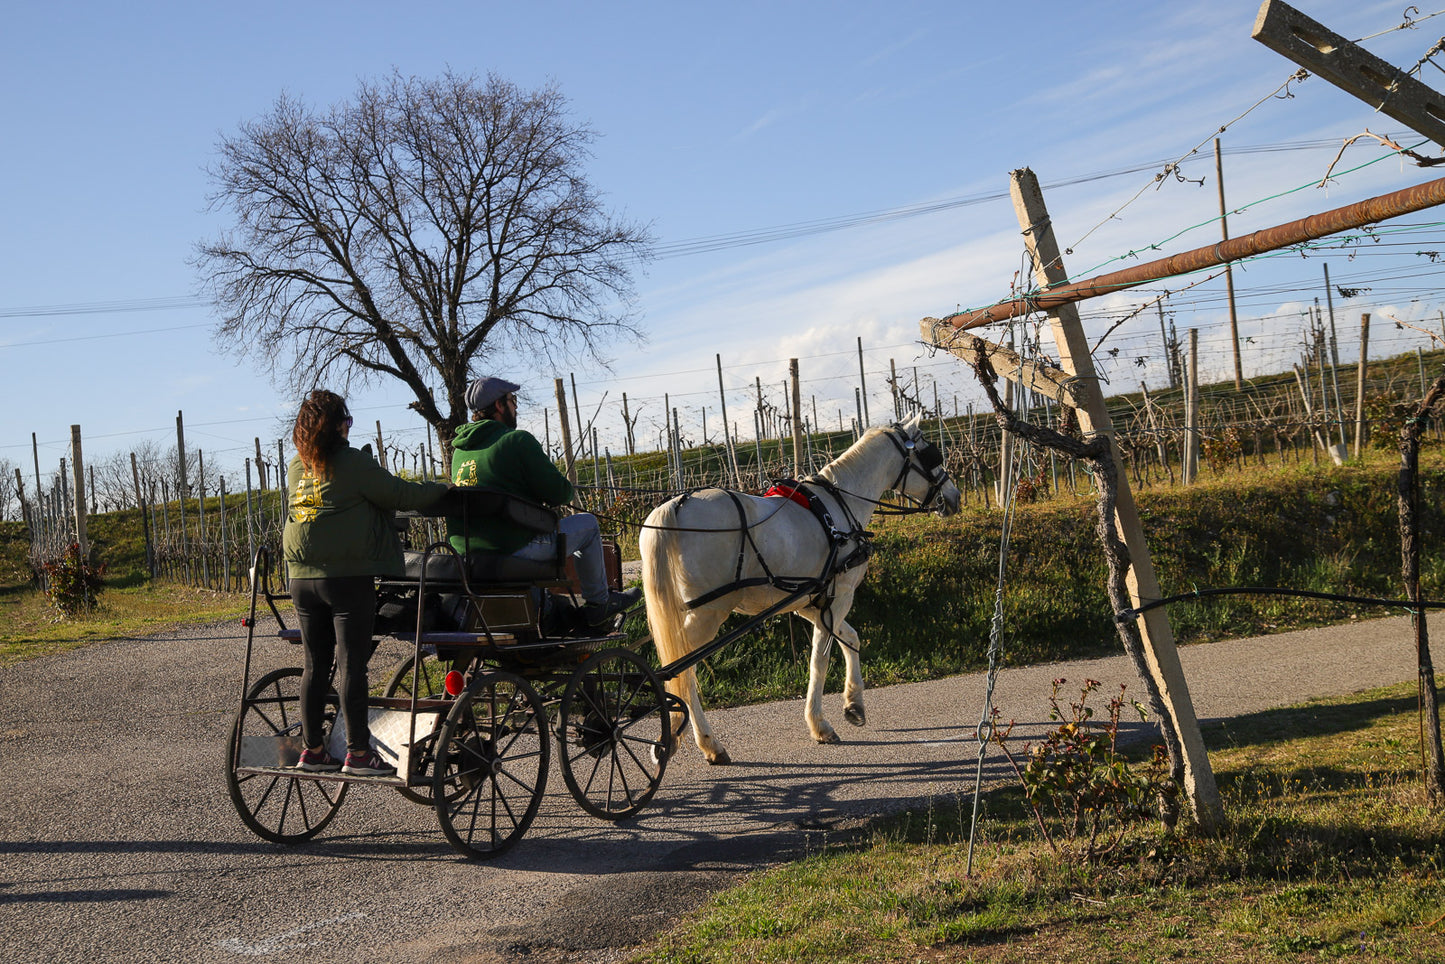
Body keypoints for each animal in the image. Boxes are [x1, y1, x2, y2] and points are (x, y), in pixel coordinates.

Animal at [641, 416, 959, 768]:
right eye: (932, 455)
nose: (954, 497)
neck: (840, 504)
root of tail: (674, 506)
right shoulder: (839, 594)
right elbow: (820, 659)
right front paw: (820, 724)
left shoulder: (809, 601)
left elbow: (850, 639)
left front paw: (854, 705)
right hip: (707, 613)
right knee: (681, 670)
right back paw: (707, 743)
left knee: (677, 668)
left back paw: (676, 737)